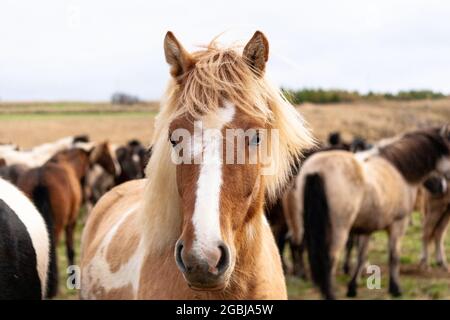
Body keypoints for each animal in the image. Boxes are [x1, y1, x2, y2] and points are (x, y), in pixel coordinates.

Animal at [17, 142, 118, 298]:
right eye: (107, 154)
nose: (115, 170)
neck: (67, 162)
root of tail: (40, 179)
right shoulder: (71, 222)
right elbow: (70, 250)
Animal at [290, 126, 450, 298]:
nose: (442, 187)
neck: (398, 170)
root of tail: (317, 170)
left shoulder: (367, 228)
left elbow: (361, 256)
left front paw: (352, 287)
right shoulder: (398, 224)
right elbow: (394, 256)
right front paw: (395, 289)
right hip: (338, 231)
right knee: (330, 260)